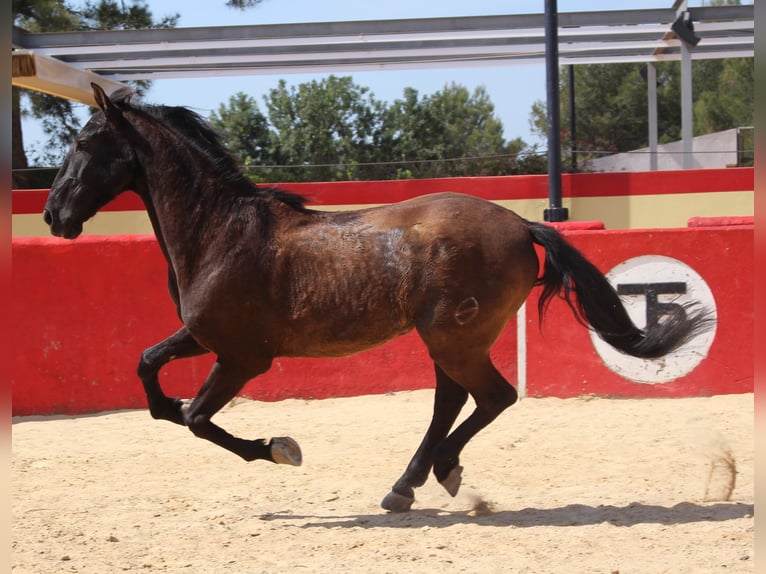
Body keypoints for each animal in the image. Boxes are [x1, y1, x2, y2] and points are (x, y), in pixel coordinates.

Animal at [42, 83, 712, 516]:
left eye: (83, 143)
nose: (53, 216)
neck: (219, 232)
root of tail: (522, 225)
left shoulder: (242, 358)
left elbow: (198, 419)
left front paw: (282, 450)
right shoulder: (203, 337)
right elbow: (148, 370)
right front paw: (171, 403)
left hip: (453, 335)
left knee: (490, 396)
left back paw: (429, 476)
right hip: (449, 337)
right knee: (454, 400)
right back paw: (415, 482)